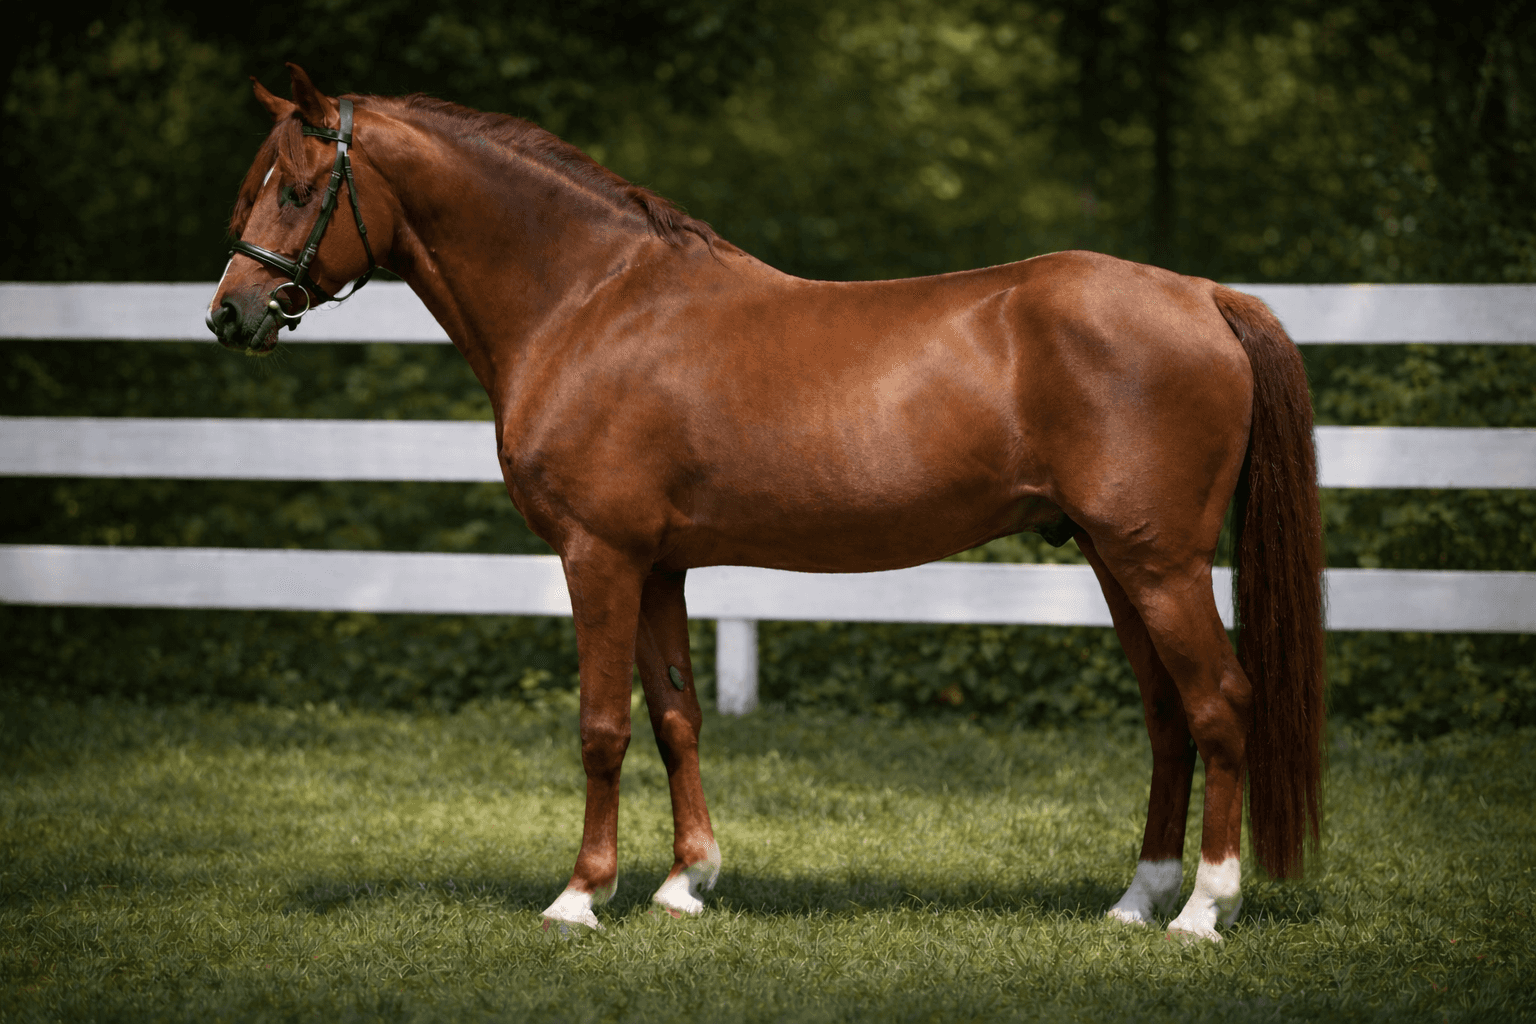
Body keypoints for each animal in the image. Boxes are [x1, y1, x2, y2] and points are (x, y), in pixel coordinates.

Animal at [208, 65, 1325, 942]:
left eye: (300, 190)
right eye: (253, 189)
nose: (230, 314)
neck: (590, 304)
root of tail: (1206, 295)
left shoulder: (598, 555)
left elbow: (601, 726)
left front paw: (580, 896)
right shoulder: (660, 564)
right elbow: (676, 714)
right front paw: (684, 883)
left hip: (1159, 562)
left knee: (1221, 702)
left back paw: (1202, 912)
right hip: (1110, 557)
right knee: (1168, 714)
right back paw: (1137, 900)